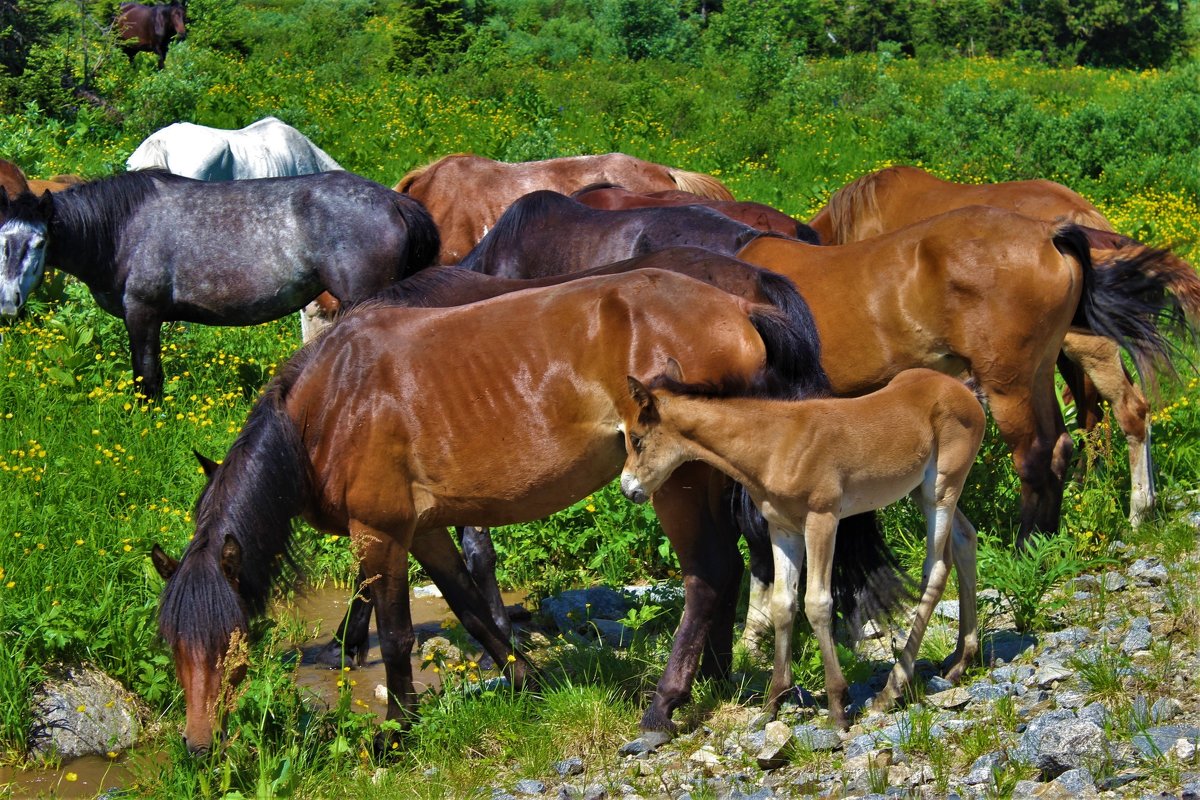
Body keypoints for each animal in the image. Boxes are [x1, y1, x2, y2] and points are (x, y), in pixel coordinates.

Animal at [0, 171, 441, 398]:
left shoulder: (142, 313)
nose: (8, 301)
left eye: (39, 242)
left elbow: (147, 375)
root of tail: (394, 201)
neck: (123, 228)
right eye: (1, 239)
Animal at [619, 367, 984, 729]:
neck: (775, 445)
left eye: (636, 438)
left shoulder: (821, 519)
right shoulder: (782, 529)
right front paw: (772, 704)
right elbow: (783, 604)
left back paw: (891, 690)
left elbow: (817, 603)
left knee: (936, 569)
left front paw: (837, 706)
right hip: (920, 491)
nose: (628, 489)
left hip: (942, 489)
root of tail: (964, 389)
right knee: (966, 539)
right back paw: (959, 661)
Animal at [806, 164, 1180, 525]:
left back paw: (1137, 510)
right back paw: (1086, 490)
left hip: (1082, 347)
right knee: (1092, 413)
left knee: (1128, 411)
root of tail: (1082, 217)